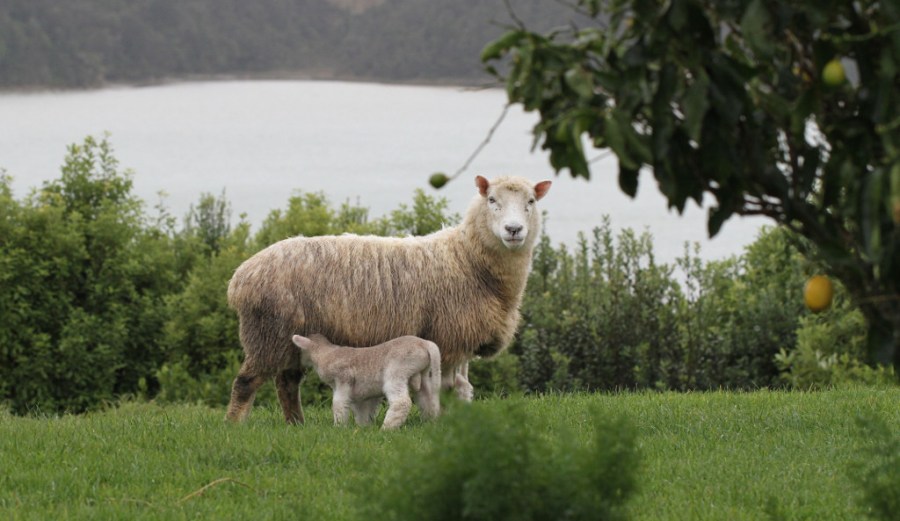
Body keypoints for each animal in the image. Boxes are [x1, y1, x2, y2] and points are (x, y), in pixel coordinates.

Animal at [290, 334, 441, 429]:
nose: (298, 364)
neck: (325, 353)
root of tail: (425, 343)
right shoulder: (360, 394)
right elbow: (361, 410)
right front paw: (363, 428)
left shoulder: (343, 378)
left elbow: (338, 404)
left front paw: (339, 427)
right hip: (424, 374)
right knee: (429, 399)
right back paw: (430, 423)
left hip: (397, 370)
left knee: (402, 402)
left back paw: (387, 428)